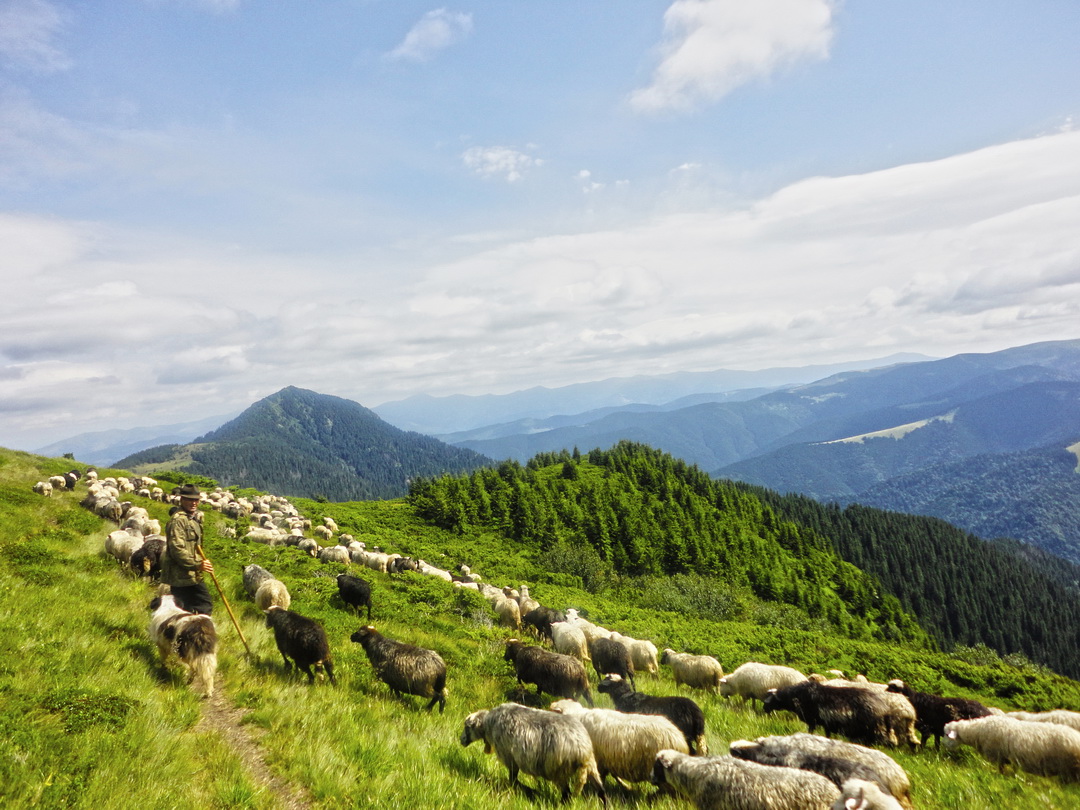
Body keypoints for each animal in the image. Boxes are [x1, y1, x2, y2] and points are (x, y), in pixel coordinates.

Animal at [457, 699, 609, 807]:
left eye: (467, 727)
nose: (461, 740)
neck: (489, 723)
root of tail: (582, 749)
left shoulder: (509, 757)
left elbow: (513, 779)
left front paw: (527, 790)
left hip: (558, 770)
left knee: (566, 794)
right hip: (592, 767)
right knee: (601, 791)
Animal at [941, 721, 1080, 781]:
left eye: (947, 734)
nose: (943, 745)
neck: (978, 731)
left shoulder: (997, 755)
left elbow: (1001, 770)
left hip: (1069, 769)